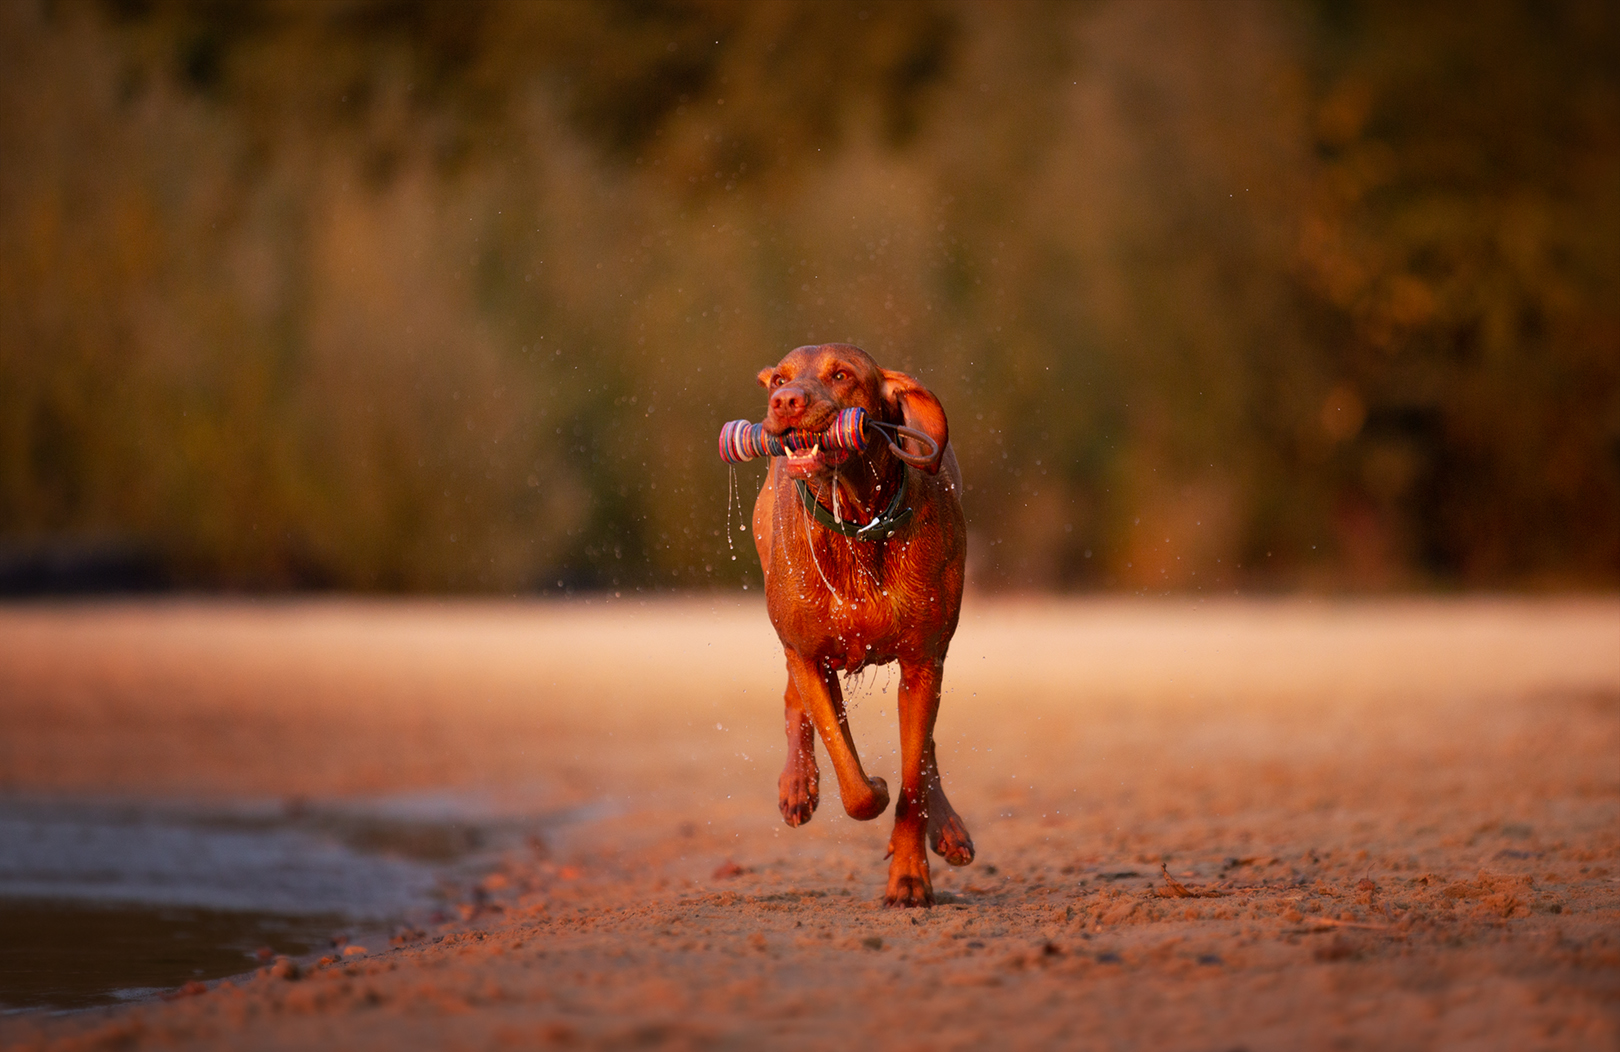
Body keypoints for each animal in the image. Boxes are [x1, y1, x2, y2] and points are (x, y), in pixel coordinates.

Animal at [748, 342, 972, 901]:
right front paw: (869, 785)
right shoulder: (813, 656)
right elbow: (852, 780)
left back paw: (949, 827)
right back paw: (797, 784)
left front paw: (909, 875)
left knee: (927, 749)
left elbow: (913, 780)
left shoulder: (923, 662)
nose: (785, 401)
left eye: (842, 375)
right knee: (793, 696)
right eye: (779, 379)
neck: (858, 520)